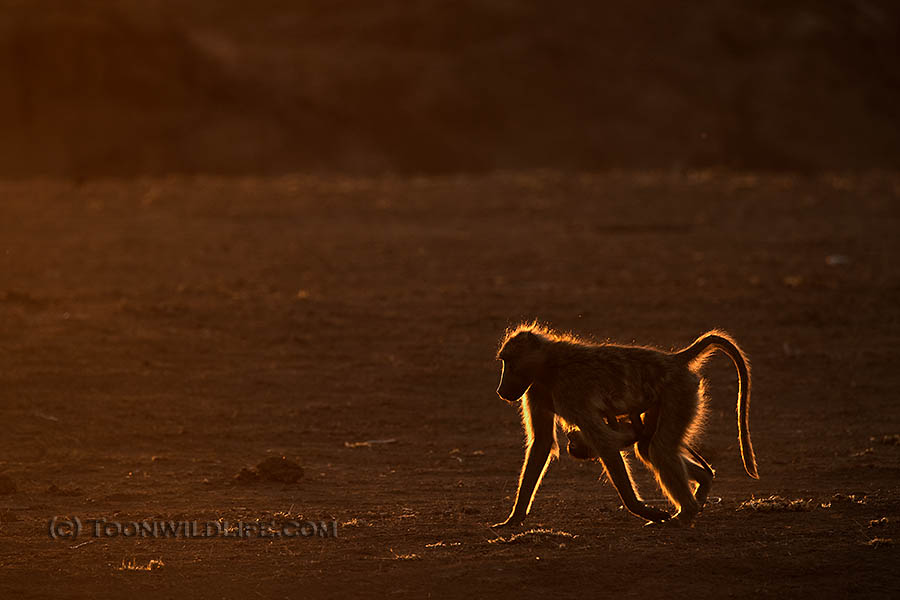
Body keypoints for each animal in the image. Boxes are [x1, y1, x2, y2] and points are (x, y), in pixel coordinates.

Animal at [492, 323, 755, 528]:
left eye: (509, 363)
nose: (501, 391)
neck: (549, 365)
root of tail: (674, 359)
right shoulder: (534, 389)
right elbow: (542, 443)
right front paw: (514, 518)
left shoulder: (571, 391)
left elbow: (604, 442)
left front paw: (640, 508)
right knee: (648, 448)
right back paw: (702, 485)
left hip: (680, 392)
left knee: (659, 449)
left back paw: (685, 514)